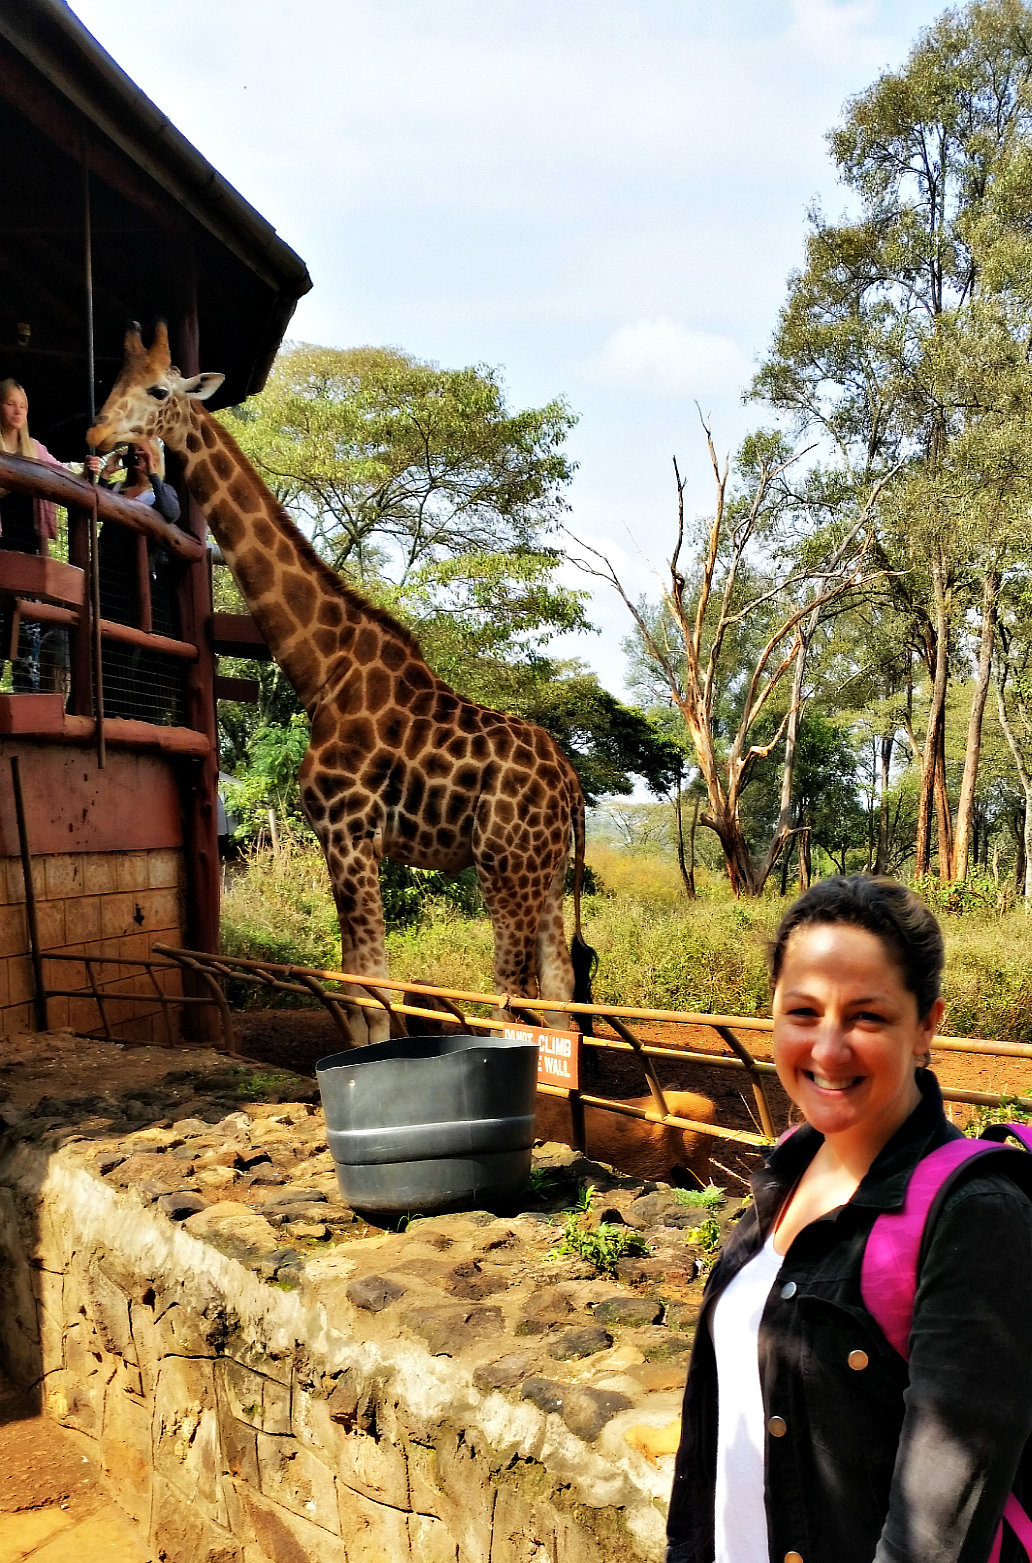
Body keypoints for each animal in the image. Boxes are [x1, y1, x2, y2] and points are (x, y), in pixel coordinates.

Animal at [88, 324, 597, 1045]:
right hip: (546, 876)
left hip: (506, 867)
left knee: (511, 997)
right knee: (558, 997)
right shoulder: (342, 842)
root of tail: (572, 786)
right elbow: (355, 983)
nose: (96, 434)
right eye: (113, 384)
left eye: (157, 390)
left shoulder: (350, 834)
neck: (322, 669)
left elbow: (373, 986)